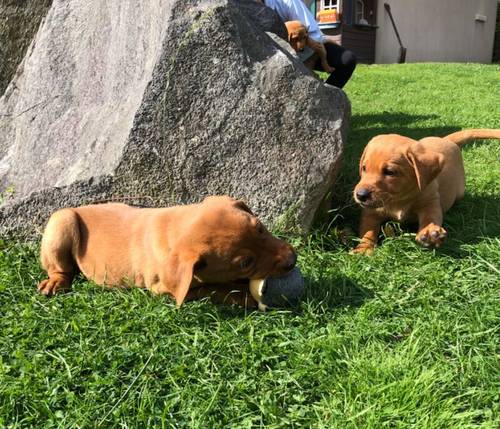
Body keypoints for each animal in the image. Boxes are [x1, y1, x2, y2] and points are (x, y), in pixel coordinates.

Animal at [40, 196, 296, 306]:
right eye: (245, 263)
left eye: (260, 228)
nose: (292, 260)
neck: (176, 226)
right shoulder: (163, 289)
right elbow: (212, 289)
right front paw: (243, 296)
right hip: (62, 221)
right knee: (61, 268)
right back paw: (55, 282)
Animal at [352, 129, 500, 252]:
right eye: (364, 168)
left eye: (390, 172)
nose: (360, 195)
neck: (399, 200)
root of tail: (446, 140)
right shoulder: (370, 212)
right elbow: (367, 231)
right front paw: (363, 249)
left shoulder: (430, 201)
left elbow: (430, 217)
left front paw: (429, 232)